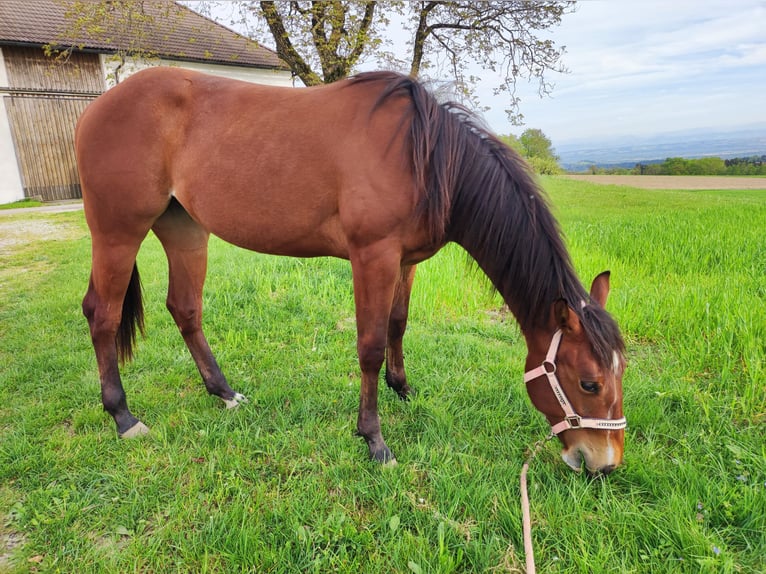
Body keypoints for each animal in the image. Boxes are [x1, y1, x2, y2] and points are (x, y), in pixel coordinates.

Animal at [76, 66, 632, 476]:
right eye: (588, 384)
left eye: (619, 374)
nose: (604, 464)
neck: (425, 156)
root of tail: (98, 107)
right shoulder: (373, 257)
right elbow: (369, 346)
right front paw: (374, 440)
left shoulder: (405, 262)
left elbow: (397, 325)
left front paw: (402, 389)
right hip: (118, 232)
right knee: (101, 315)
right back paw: (123, 415)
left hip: (185, 229)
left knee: (185, 308)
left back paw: (225, 393)